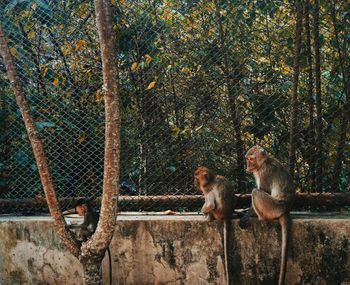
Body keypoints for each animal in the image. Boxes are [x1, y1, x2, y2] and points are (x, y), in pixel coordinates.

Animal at [239, 146, 294, 284]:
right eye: (247, 159)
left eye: (251, 159)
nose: (248, 165)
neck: (263, 163)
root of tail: (285, 209)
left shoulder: (264, 174)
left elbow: (263, 191)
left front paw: (246, 216)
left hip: (273, 207)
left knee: (256, 192)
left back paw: (258, 218)